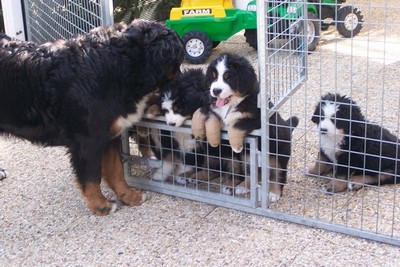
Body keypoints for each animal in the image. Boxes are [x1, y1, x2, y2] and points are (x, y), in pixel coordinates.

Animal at [0, 19, 184, 217]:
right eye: (176, 64)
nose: (184, 86)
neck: (115, 66)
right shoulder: (87, 141)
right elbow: (92, 178)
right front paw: (101, 205)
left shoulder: (110, 135)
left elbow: (117, 171)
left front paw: (129, 196)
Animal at [192, 53, 298, 202]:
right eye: (213, 76)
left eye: (228, 77)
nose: (215, 91)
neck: (234, 102)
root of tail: (288, 128)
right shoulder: (214, 110)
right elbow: (200, 111)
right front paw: (201, 133)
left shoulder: (257, 120)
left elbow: (236, 125)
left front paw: (236, 145)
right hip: (246, 156)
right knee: (250, 173)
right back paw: (242, 187)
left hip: (277, 155)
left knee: (279, 174)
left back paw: (273, 193)